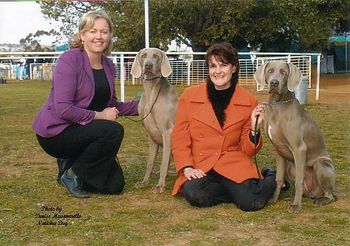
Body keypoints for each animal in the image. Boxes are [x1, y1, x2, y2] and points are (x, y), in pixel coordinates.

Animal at [130, 47, 178, 193]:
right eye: (144, 55)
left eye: (156, 56)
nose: (148, 65)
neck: (151, 90)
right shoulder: (151, 135)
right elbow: (150, 163)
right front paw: (144, 182)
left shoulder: (167, 133)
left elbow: (163, 163)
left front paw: (160, 186)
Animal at [254, 60, 336, 212]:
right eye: (270, 71)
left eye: (283, 72)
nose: (274, 83)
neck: (278, 104)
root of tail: (314, 193)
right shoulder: (278, 150)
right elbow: (278, 178)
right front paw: (273, 199)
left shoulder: (299, 148)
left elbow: (299, 180)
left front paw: (296, 206)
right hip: (290, 165)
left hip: (321, 165)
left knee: (331, 195)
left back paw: (321, 200)